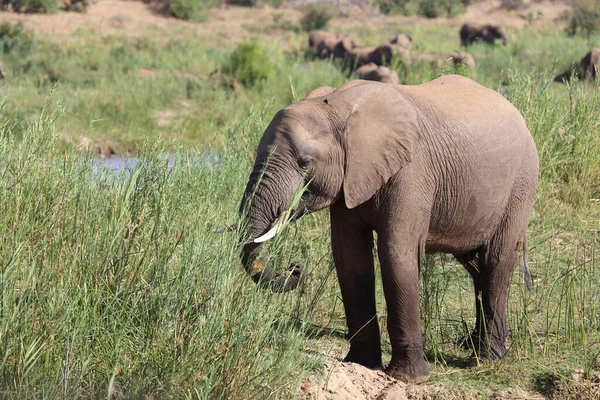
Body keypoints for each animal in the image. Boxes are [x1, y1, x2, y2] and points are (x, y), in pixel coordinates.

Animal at [239, 76, 540, 384]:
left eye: (305, 162)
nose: (296, 269)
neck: (337, 107)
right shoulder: (350, 179)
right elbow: (351, 257)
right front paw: (361, 364)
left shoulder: (412, 171)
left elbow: (395, 253)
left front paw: (408, 378)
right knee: (476, 265)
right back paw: (478, 347)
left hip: (521, 182)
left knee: (497, 259)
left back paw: (489, 358)